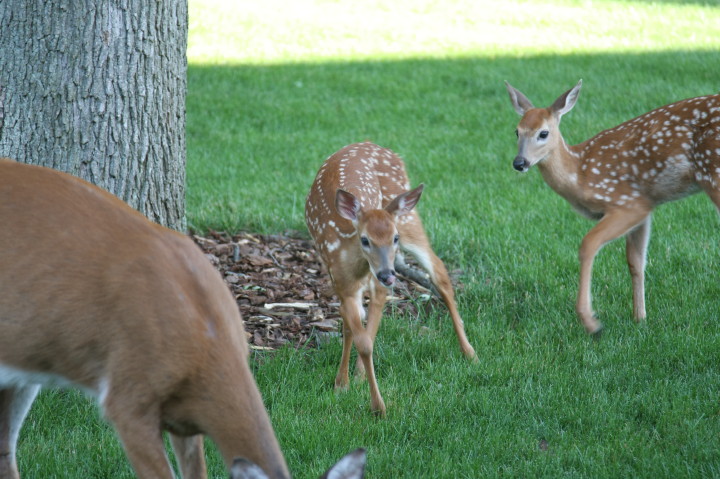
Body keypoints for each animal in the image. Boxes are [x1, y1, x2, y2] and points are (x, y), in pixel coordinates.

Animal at [305, 142, 477, 417]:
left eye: (393, 238)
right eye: (365, 240)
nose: (388, 274)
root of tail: (374, 145)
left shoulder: (376, 285)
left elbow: (367, 338)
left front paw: (377, 406)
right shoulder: (341, 283)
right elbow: (355, 331)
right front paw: (343, 383)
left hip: (407, 217)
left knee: (439, 272)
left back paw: (470, 353)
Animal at [505, 80, 720, 335]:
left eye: (543, 133)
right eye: (517, 131)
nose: (519, 163)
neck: (580, 174)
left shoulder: (628, 202)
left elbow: (588, 244)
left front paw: (591, 322)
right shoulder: (645, 206)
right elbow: (636, 261)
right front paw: (640, 318)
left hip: (714, 174)